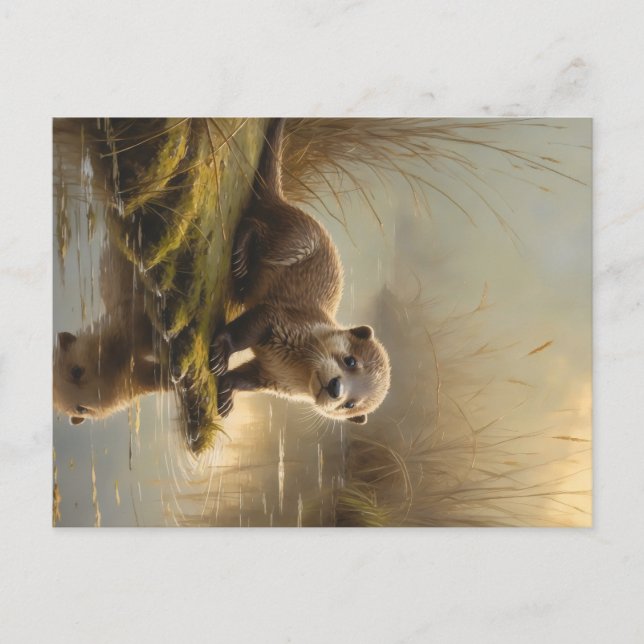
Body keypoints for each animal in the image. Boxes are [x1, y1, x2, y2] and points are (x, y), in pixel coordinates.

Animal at [210, 119, 391, 424]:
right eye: (350, 361)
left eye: (350, 404)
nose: (336, 387)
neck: (291, 364)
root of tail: (285, 203)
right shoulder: (277, 318)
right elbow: (242, 331)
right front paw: (220, 353)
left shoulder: (272, 378)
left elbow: (244, 378)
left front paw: (225, 395)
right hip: (293, 240)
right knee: (254, 224)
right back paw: (240, 260)